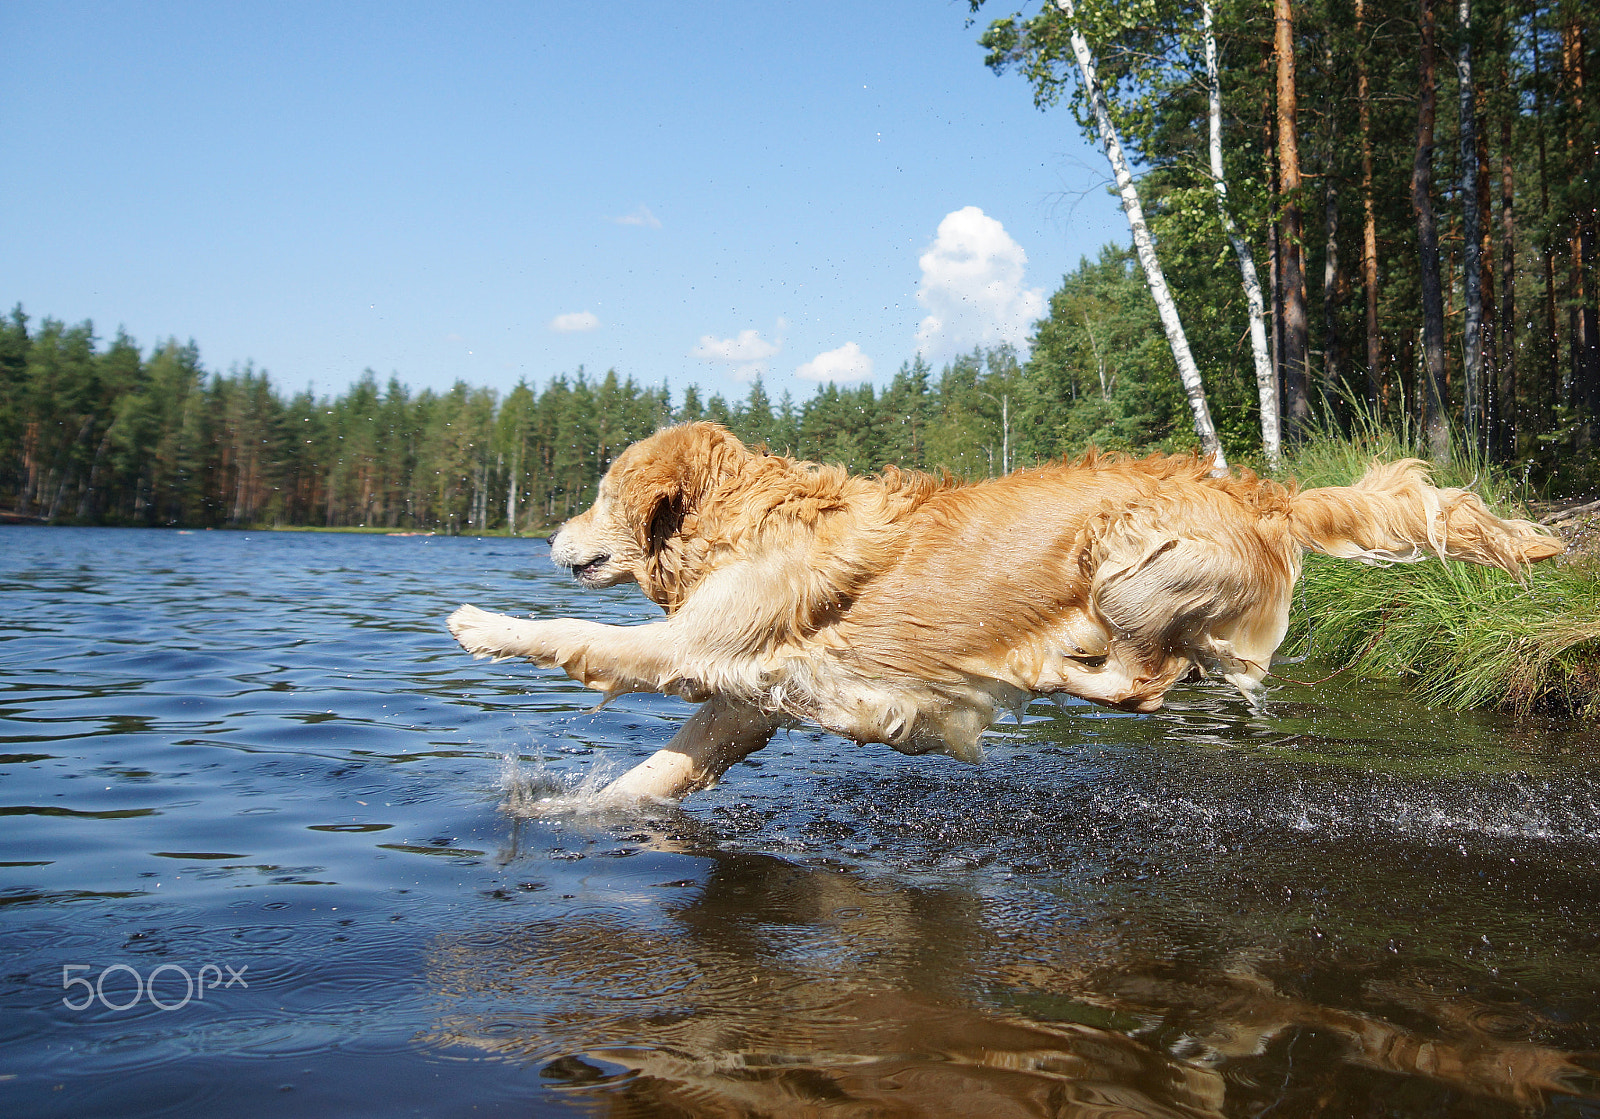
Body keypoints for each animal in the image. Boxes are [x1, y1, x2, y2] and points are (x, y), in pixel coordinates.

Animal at [451, 425, 1561, 800]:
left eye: (599, 494)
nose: (552, 536)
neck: (745, 520)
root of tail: (1266, 494)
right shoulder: (749, 698)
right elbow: (659, 774)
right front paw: (570, 815)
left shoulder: (695, 646)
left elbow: (579, 638)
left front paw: (481, 625)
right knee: (1181, 672)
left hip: (1124, 566)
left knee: (1148, 681)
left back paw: (1051, 669)